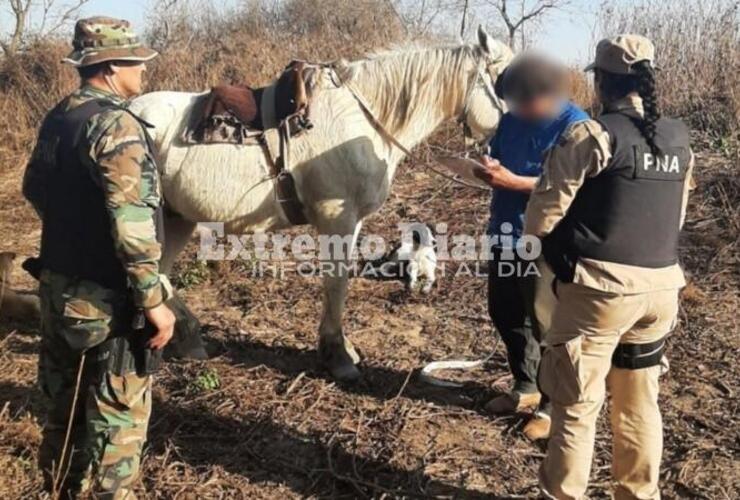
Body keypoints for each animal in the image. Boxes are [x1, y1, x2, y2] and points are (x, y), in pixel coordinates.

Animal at [133, 26, 512, 378]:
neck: (364, 119)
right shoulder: (337, 219)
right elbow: (336, 283)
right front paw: (338, 355)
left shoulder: (352, 221)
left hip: (178, 217)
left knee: (160, 273)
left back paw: (188, 337)